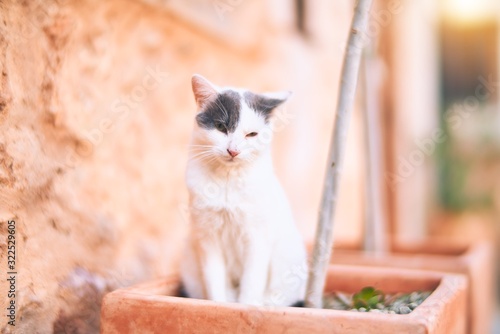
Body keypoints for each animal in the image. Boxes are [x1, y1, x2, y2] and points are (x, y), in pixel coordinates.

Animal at [183, 74, 308, 306]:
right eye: (221, 126)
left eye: (252, 134)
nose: (233, 150)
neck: (227, 181)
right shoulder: (207, 239)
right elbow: (214, 282)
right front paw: (218, 306)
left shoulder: (257, 238)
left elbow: (251, 283)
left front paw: (245, 307)